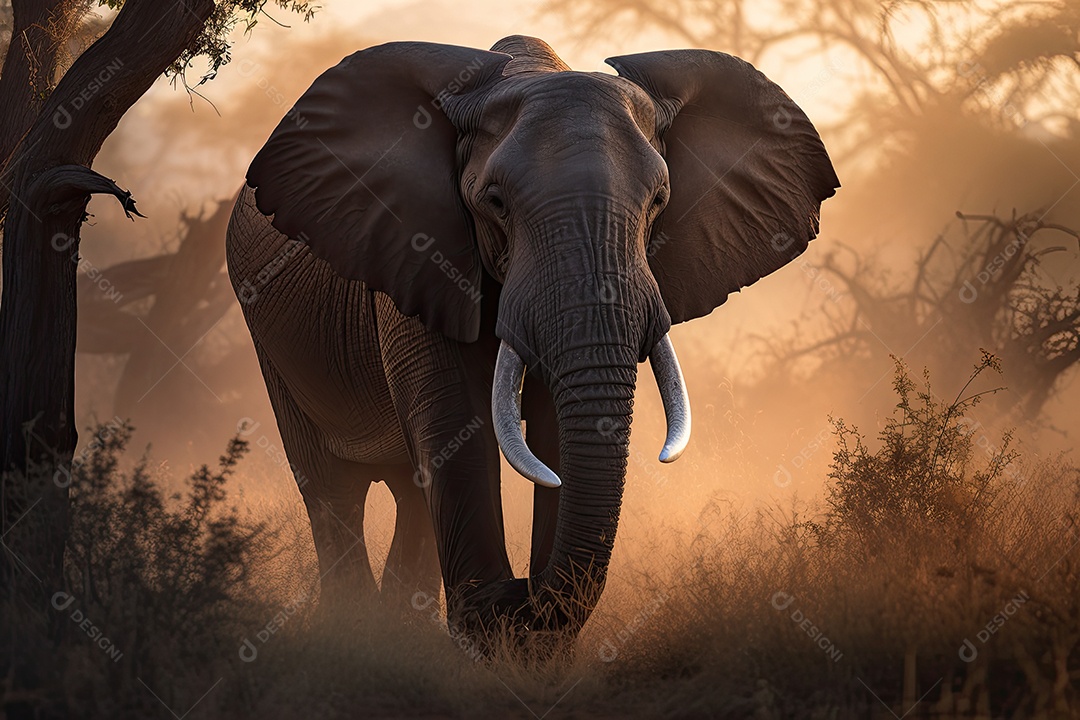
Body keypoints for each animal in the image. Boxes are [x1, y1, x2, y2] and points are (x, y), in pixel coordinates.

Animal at [226, 35, 838, 641]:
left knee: (408, 489)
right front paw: (493, 628)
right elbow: (455, 425)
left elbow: (551, 426)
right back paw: (358, 629)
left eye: (660, 202)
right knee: (333, 488)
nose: (524, 593)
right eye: (495, 203)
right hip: (266, 334)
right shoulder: (417, 252)